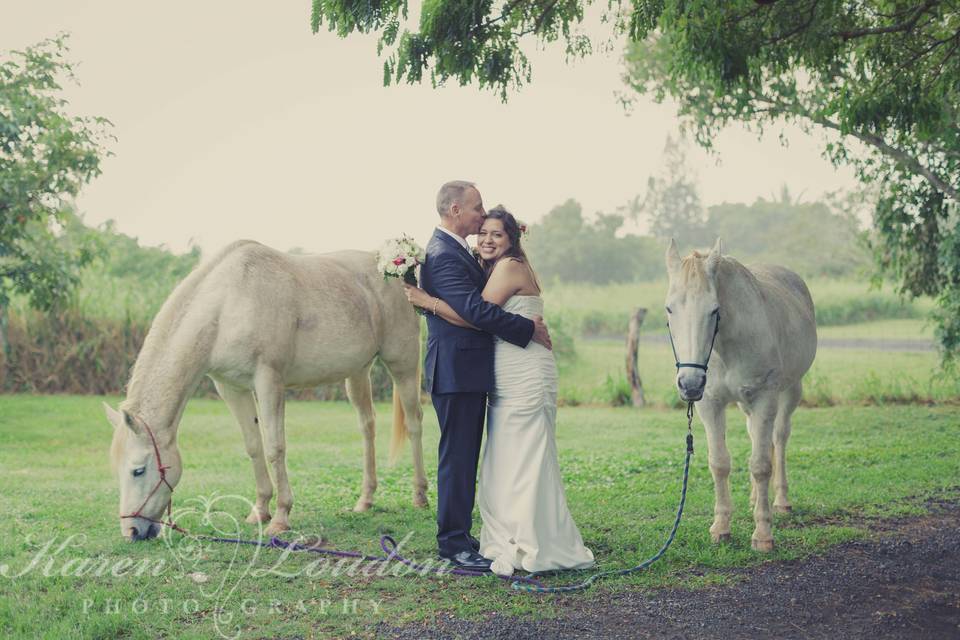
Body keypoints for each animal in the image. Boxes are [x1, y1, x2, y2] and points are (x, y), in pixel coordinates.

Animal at [102, 240, 428, 540]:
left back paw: (420, 496)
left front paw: (281, 516)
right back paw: (365, 500)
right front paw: (259, 510)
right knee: (367, 427)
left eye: (138, 470)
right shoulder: (231, 388)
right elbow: (253, 446)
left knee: (414, 424)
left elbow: (274, 447)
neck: (227, 304)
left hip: (402, 364)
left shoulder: (268, 381)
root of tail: (396, 273)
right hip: (358, 372)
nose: (131, 531)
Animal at [668, 239, 816, 552]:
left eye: (714, 310)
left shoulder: (764, 398)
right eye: (669, 309)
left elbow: (761, 465)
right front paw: (721, 527)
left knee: (779, 440)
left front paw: (763, 534)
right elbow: (720, 463)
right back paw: (754, 499)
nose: (690, 384)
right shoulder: (711, 404)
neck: (728, 343)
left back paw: (780, 502)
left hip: (790, 391)